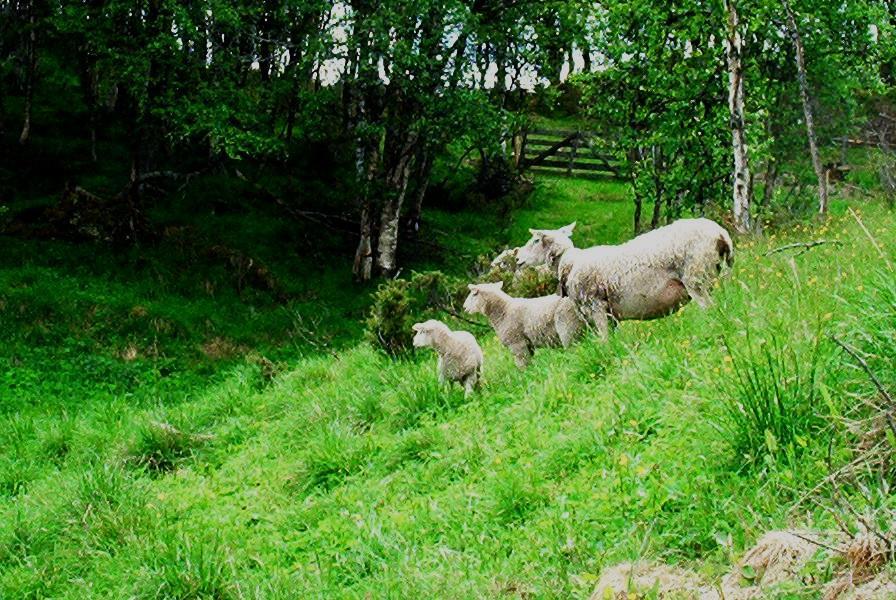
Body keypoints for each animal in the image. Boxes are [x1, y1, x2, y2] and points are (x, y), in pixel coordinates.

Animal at [516, 217, 732, 340]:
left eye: (535, 240)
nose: (517, 259)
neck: (570, 263)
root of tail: (721, 234)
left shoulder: (596, 306)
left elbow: (604, 341)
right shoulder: (611, 316)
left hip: (696, 278)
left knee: (710, 309)